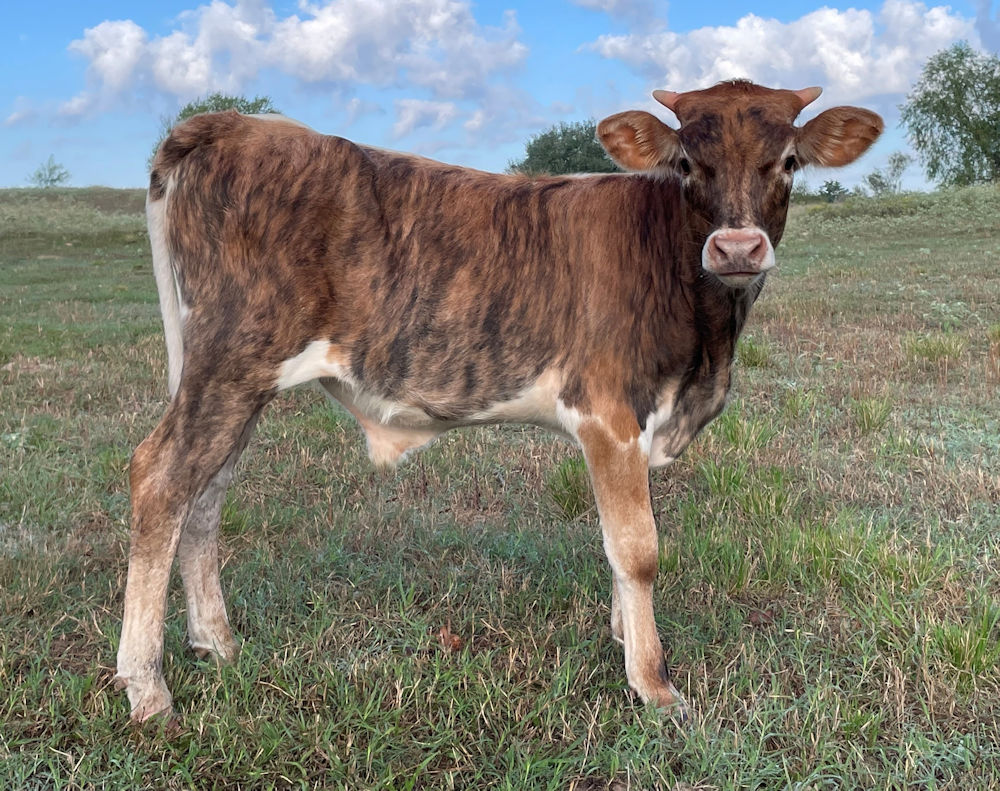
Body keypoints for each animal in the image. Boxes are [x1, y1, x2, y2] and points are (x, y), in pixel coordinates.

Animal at [116, 80, 882, 723]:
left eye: (788, 161)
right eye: (688, 163)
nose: (737, 247)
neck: (707, 344)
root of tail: (236, 123)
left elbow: (617, 544)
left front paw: (623, 636)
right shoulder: (608, 410)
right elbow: (637, 547)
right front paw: (654, 683)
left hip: (226, 375)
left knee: (207, 492)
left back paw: (216, 642)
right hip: (233, 359)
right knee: (162, 478)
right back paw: (147, 687)